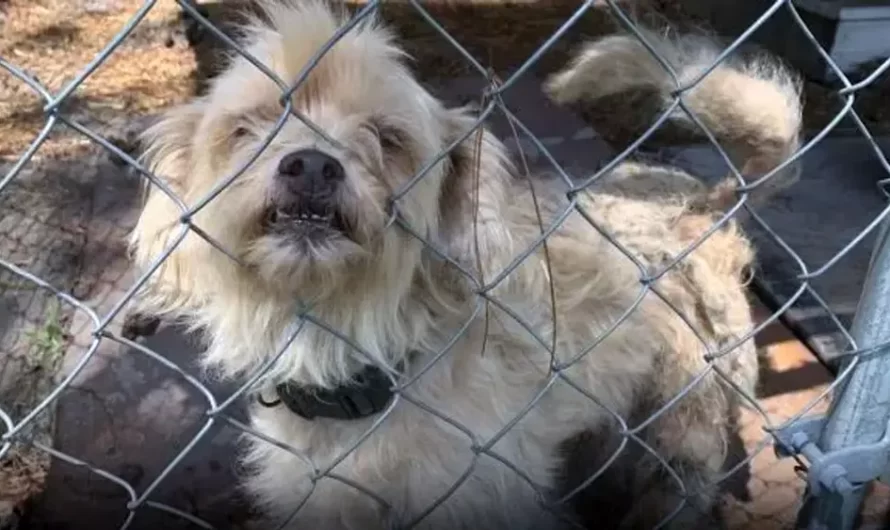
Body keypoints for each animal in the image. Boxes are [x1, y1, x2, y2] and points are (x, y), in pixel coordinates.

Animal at [128, 2, 800, 524]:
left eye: (388, 138)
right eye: (249, 127)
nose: (313, 166)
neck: (352, 349)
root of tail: (706, 204)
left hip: (687, 419)